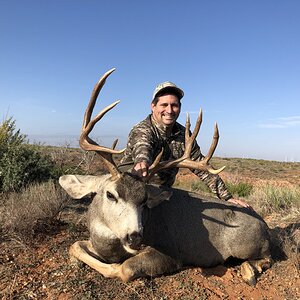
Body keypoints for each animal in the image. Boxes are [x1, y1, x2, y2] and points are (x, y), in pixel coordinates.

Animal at [58, 68, 272, 286]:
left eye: (144, 201)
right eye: (110, 195)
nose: (135, 237)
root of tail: (265, 226)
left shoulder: (169, 253)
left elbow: (124, 268)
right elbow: (75, 245)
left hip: (246, 247)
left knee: (267, 258)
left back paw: (248, 272)